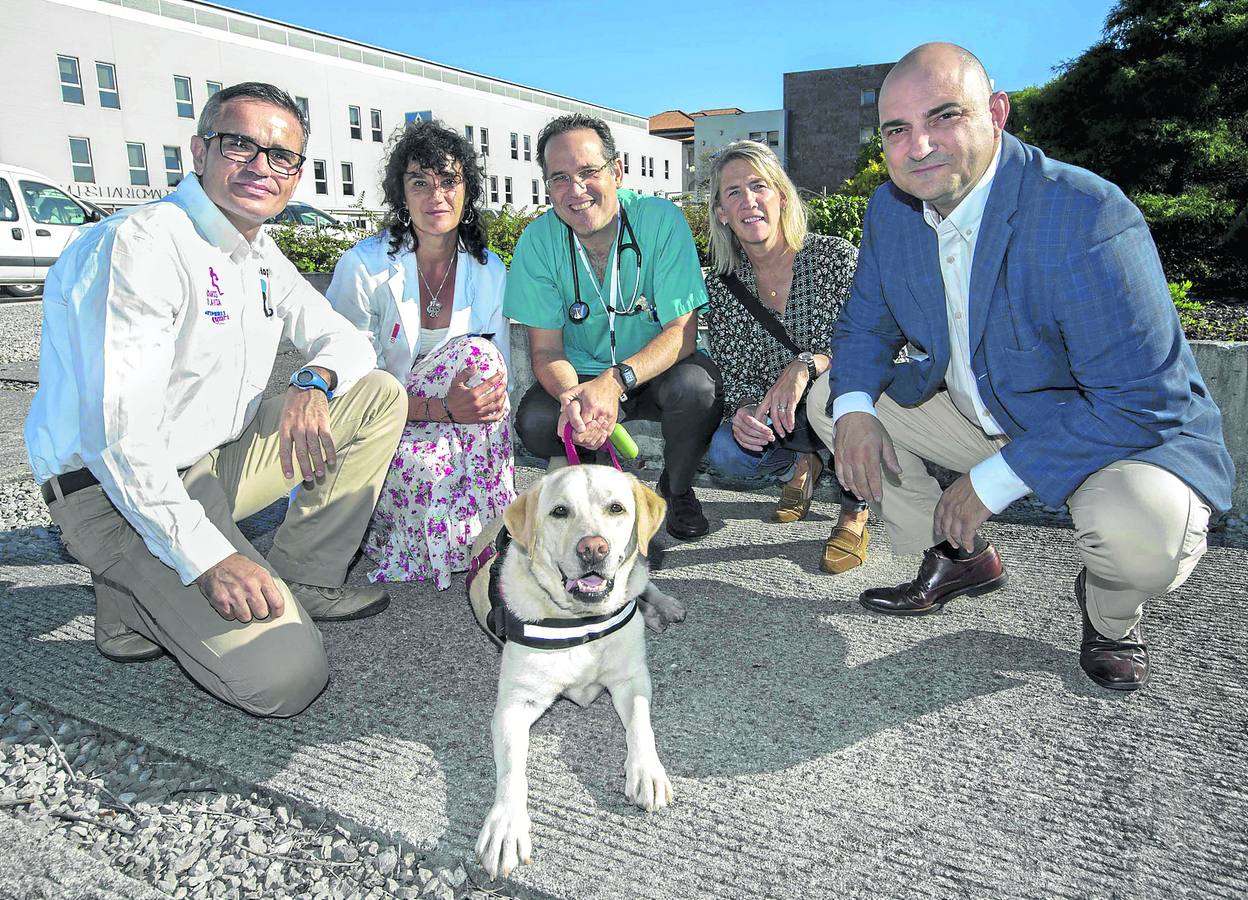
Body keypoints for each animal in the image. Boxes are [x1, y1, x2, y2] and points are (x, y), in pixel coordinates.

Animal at [469, 464, 683, 878]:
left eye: (616, 508)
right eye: (559, 512)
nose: (593, 548)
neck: (581, 622)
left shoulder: (632, 680)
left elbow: (641, 726)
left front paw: (647, 772)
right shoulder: (514, 706)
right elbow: (513, 770)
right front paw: (506, 826)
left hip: (641, 568)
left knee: (644, 580)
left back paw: (661, 606)